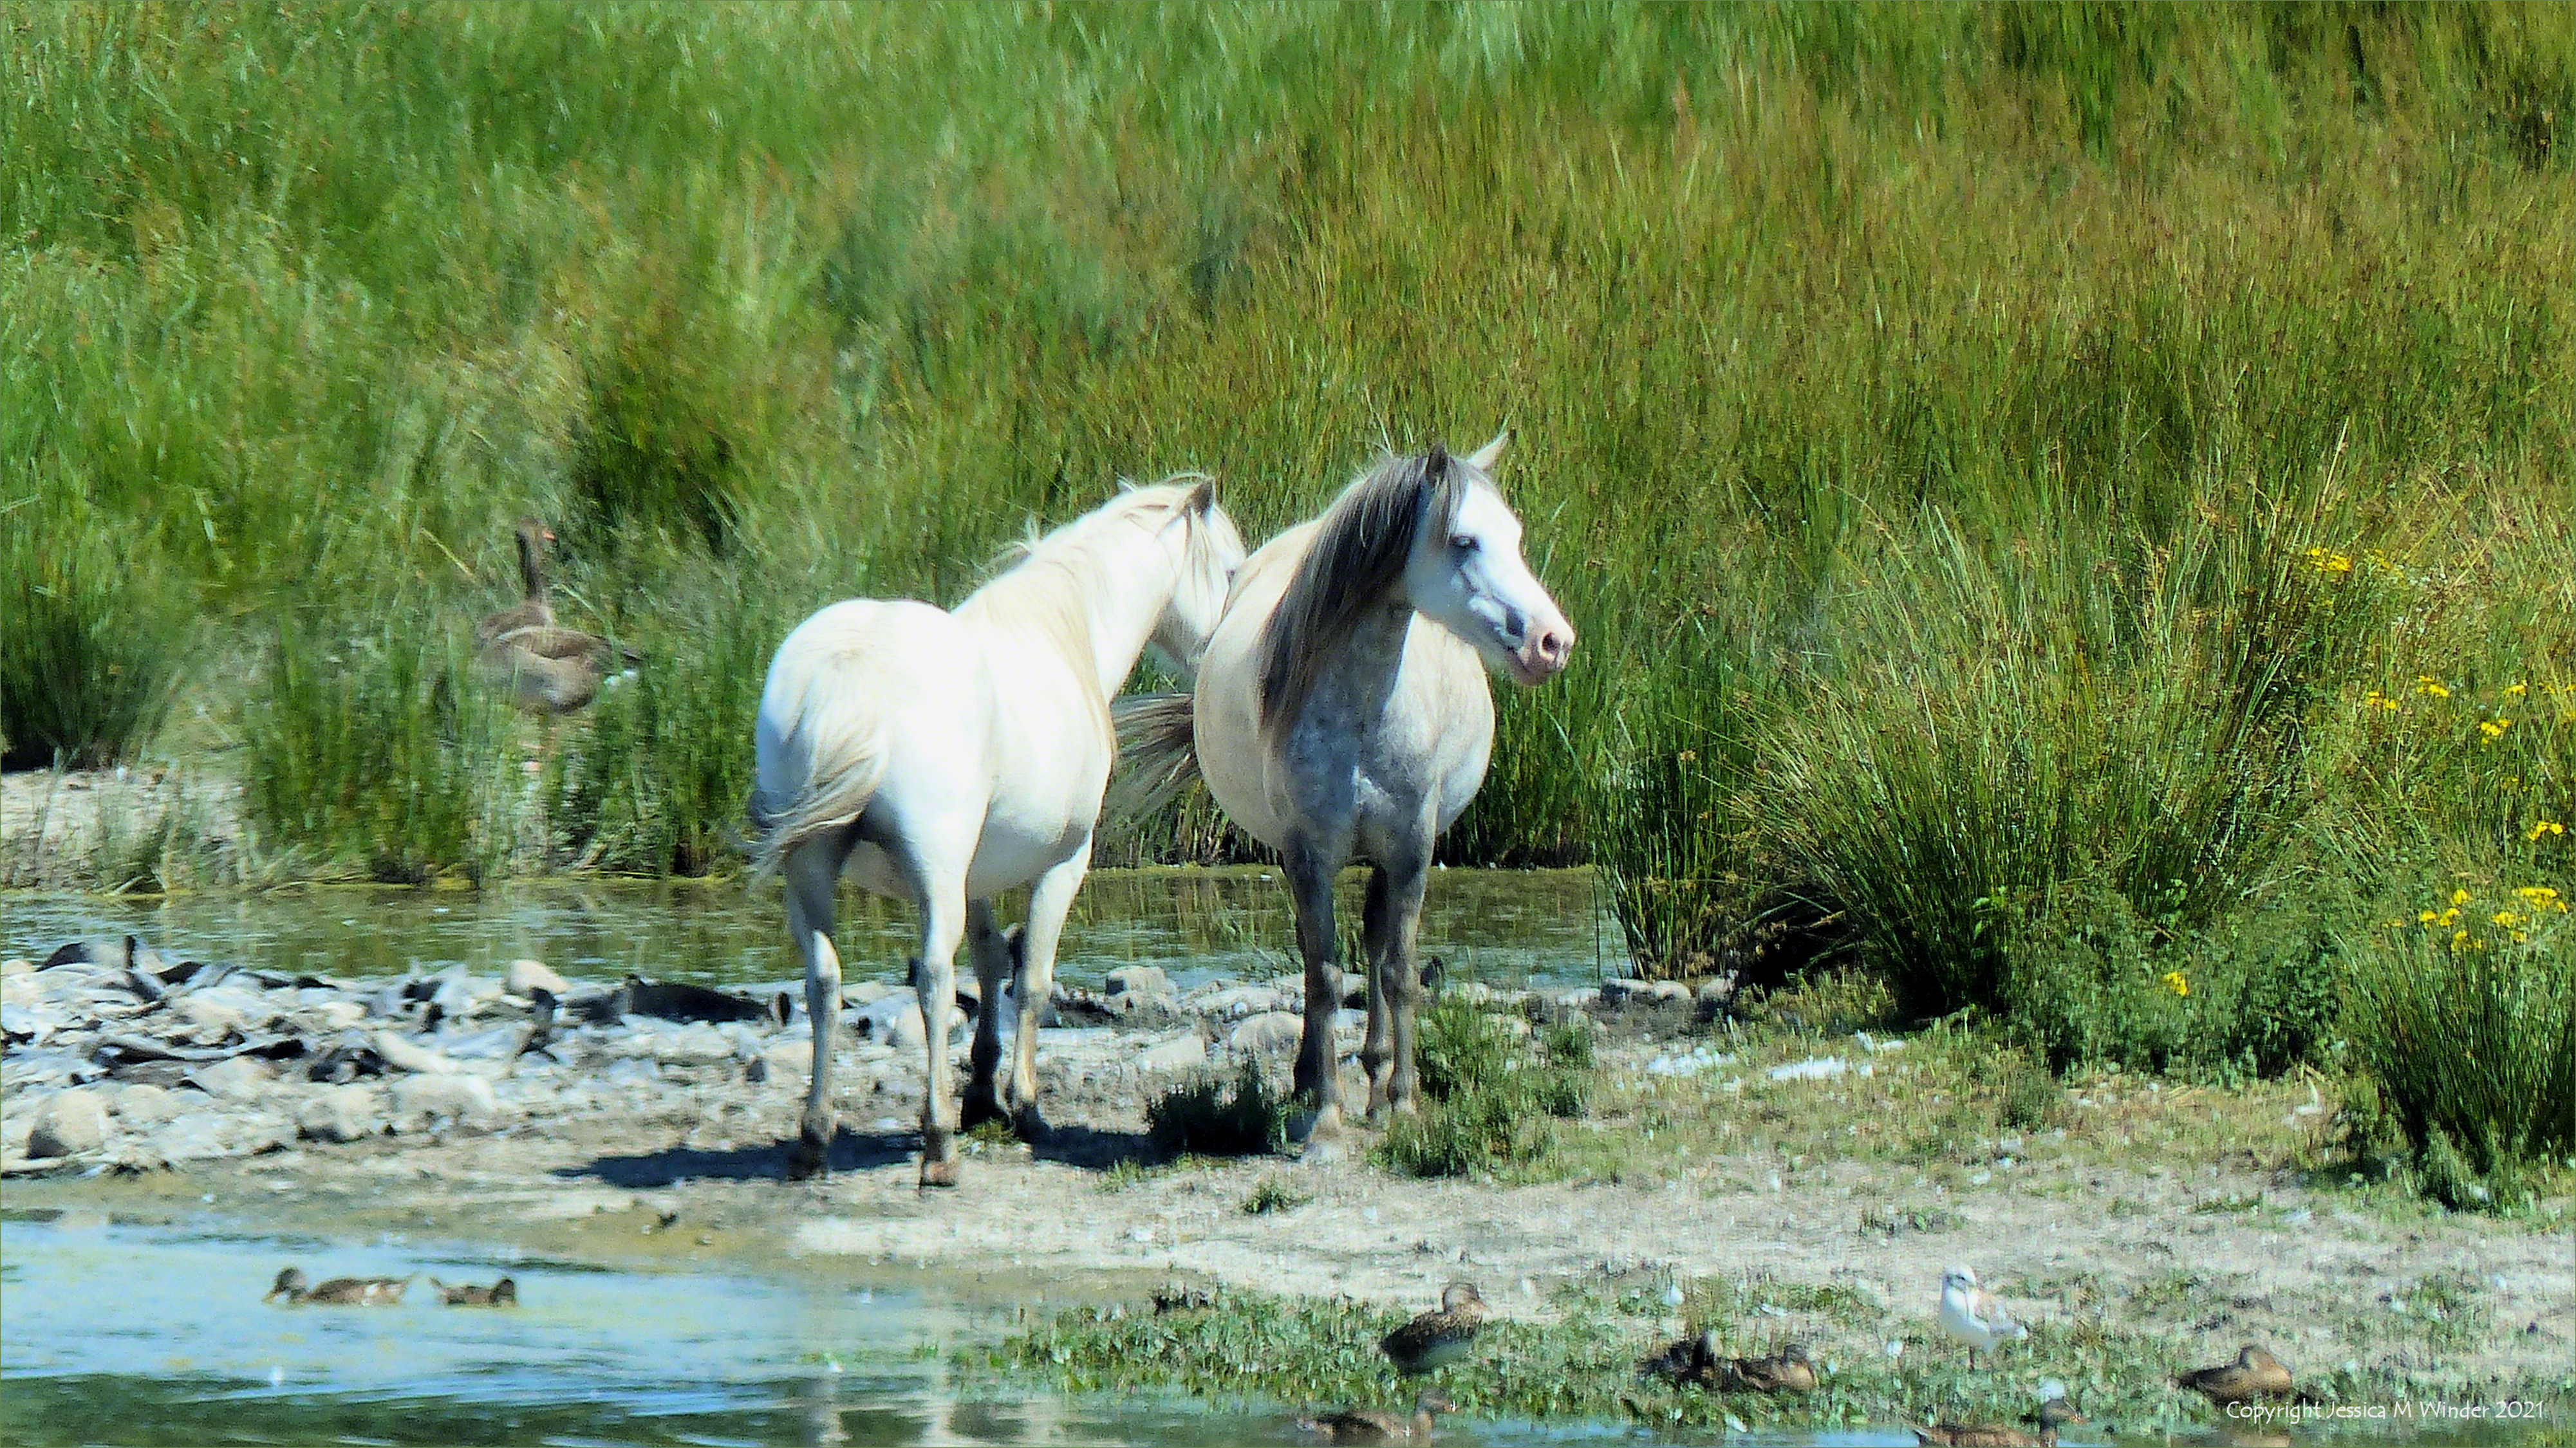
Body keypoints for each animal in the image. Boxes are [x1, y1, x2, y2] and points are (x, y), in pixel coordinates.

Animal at [750, 477, 1244, 1186]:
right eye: (1230, 571)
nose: (1222, 663)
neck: (1064, 635)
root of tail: (851, 670)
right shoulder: (1066, 862)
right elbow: (1030, 978)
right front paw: (1025, 1107)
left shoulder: (975, 877)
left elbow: (987, 964)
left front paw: (982, 1094)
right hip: (932, 871)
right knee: (931, 979)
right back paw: (938, 1148)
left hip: (813, 871)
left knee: (823, 983)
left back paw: (814, 1138)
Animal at [1118, 434, 1573, 1133]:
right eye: (1464, 540)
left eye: (1516, 538)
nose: (1554, 643)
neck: (1363, 709)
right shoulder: (1309, 853)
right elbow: (1324, 977)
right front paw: (1325, 1117)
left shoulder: (1413, 848)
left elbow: (1399, 970)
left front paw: (1405, 1102)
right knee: (1318, 953)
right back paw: (1314, 1080)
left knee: (1379, 941)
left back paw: (1379, 1077)